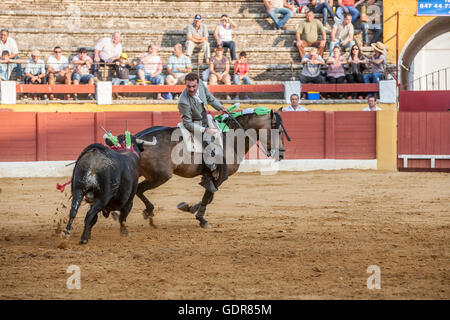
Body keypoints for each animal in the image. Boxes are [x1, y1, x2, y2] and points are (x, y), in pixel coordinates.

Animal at [126, 109, 288, 228]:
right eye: (279, 131)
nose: (281, 154)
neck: (231, 138)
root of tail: (137, 139)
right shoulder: (219, 176)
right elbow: (209, 196)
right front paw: (200, 218)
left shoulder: (211, 176)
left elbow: (209, 196)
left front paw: (189, 208)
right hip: (161, 176)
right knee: (139, 189)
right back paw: (148, 212)